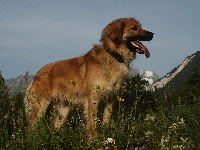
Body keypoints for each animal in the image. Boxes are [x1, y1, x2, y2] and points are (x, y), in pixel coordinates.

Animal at [24, 17, 154, 136]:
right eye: (134, 28)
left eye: (140, 26)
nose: (152, 34)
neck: (113, 55)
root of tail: (37, 74)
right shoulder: (93, 99)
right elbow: (92, 124)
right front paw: (93, 141)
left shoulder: (110, 99)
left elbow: (106, 121)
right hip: (40, 106)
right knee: (30, 129)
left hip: (63, 111)